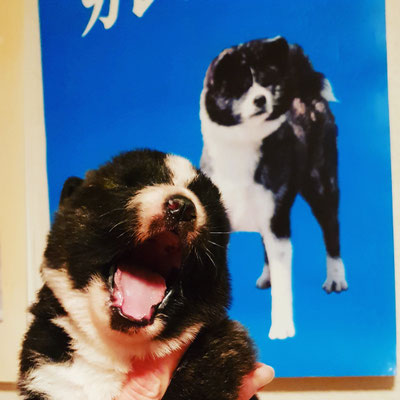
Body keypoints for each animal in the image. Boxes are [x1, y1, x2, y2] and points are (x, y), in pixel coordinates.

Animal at [18, 149, 258, 400]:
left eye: (209, 208)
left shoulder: (223, 345)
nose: (182, 207)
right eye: (130, 183)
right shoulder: (51, 376)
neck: (116, 348)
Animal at [200, 36, 348, 340]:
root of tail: (306, 90)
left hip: (321, 187)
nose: (261, 99)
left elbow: (283, 283)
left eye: (266, 82)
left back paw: (336, 278)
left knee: (331, 230)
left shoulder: (276, 220)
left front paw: (281, 328)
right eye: (239, 84)